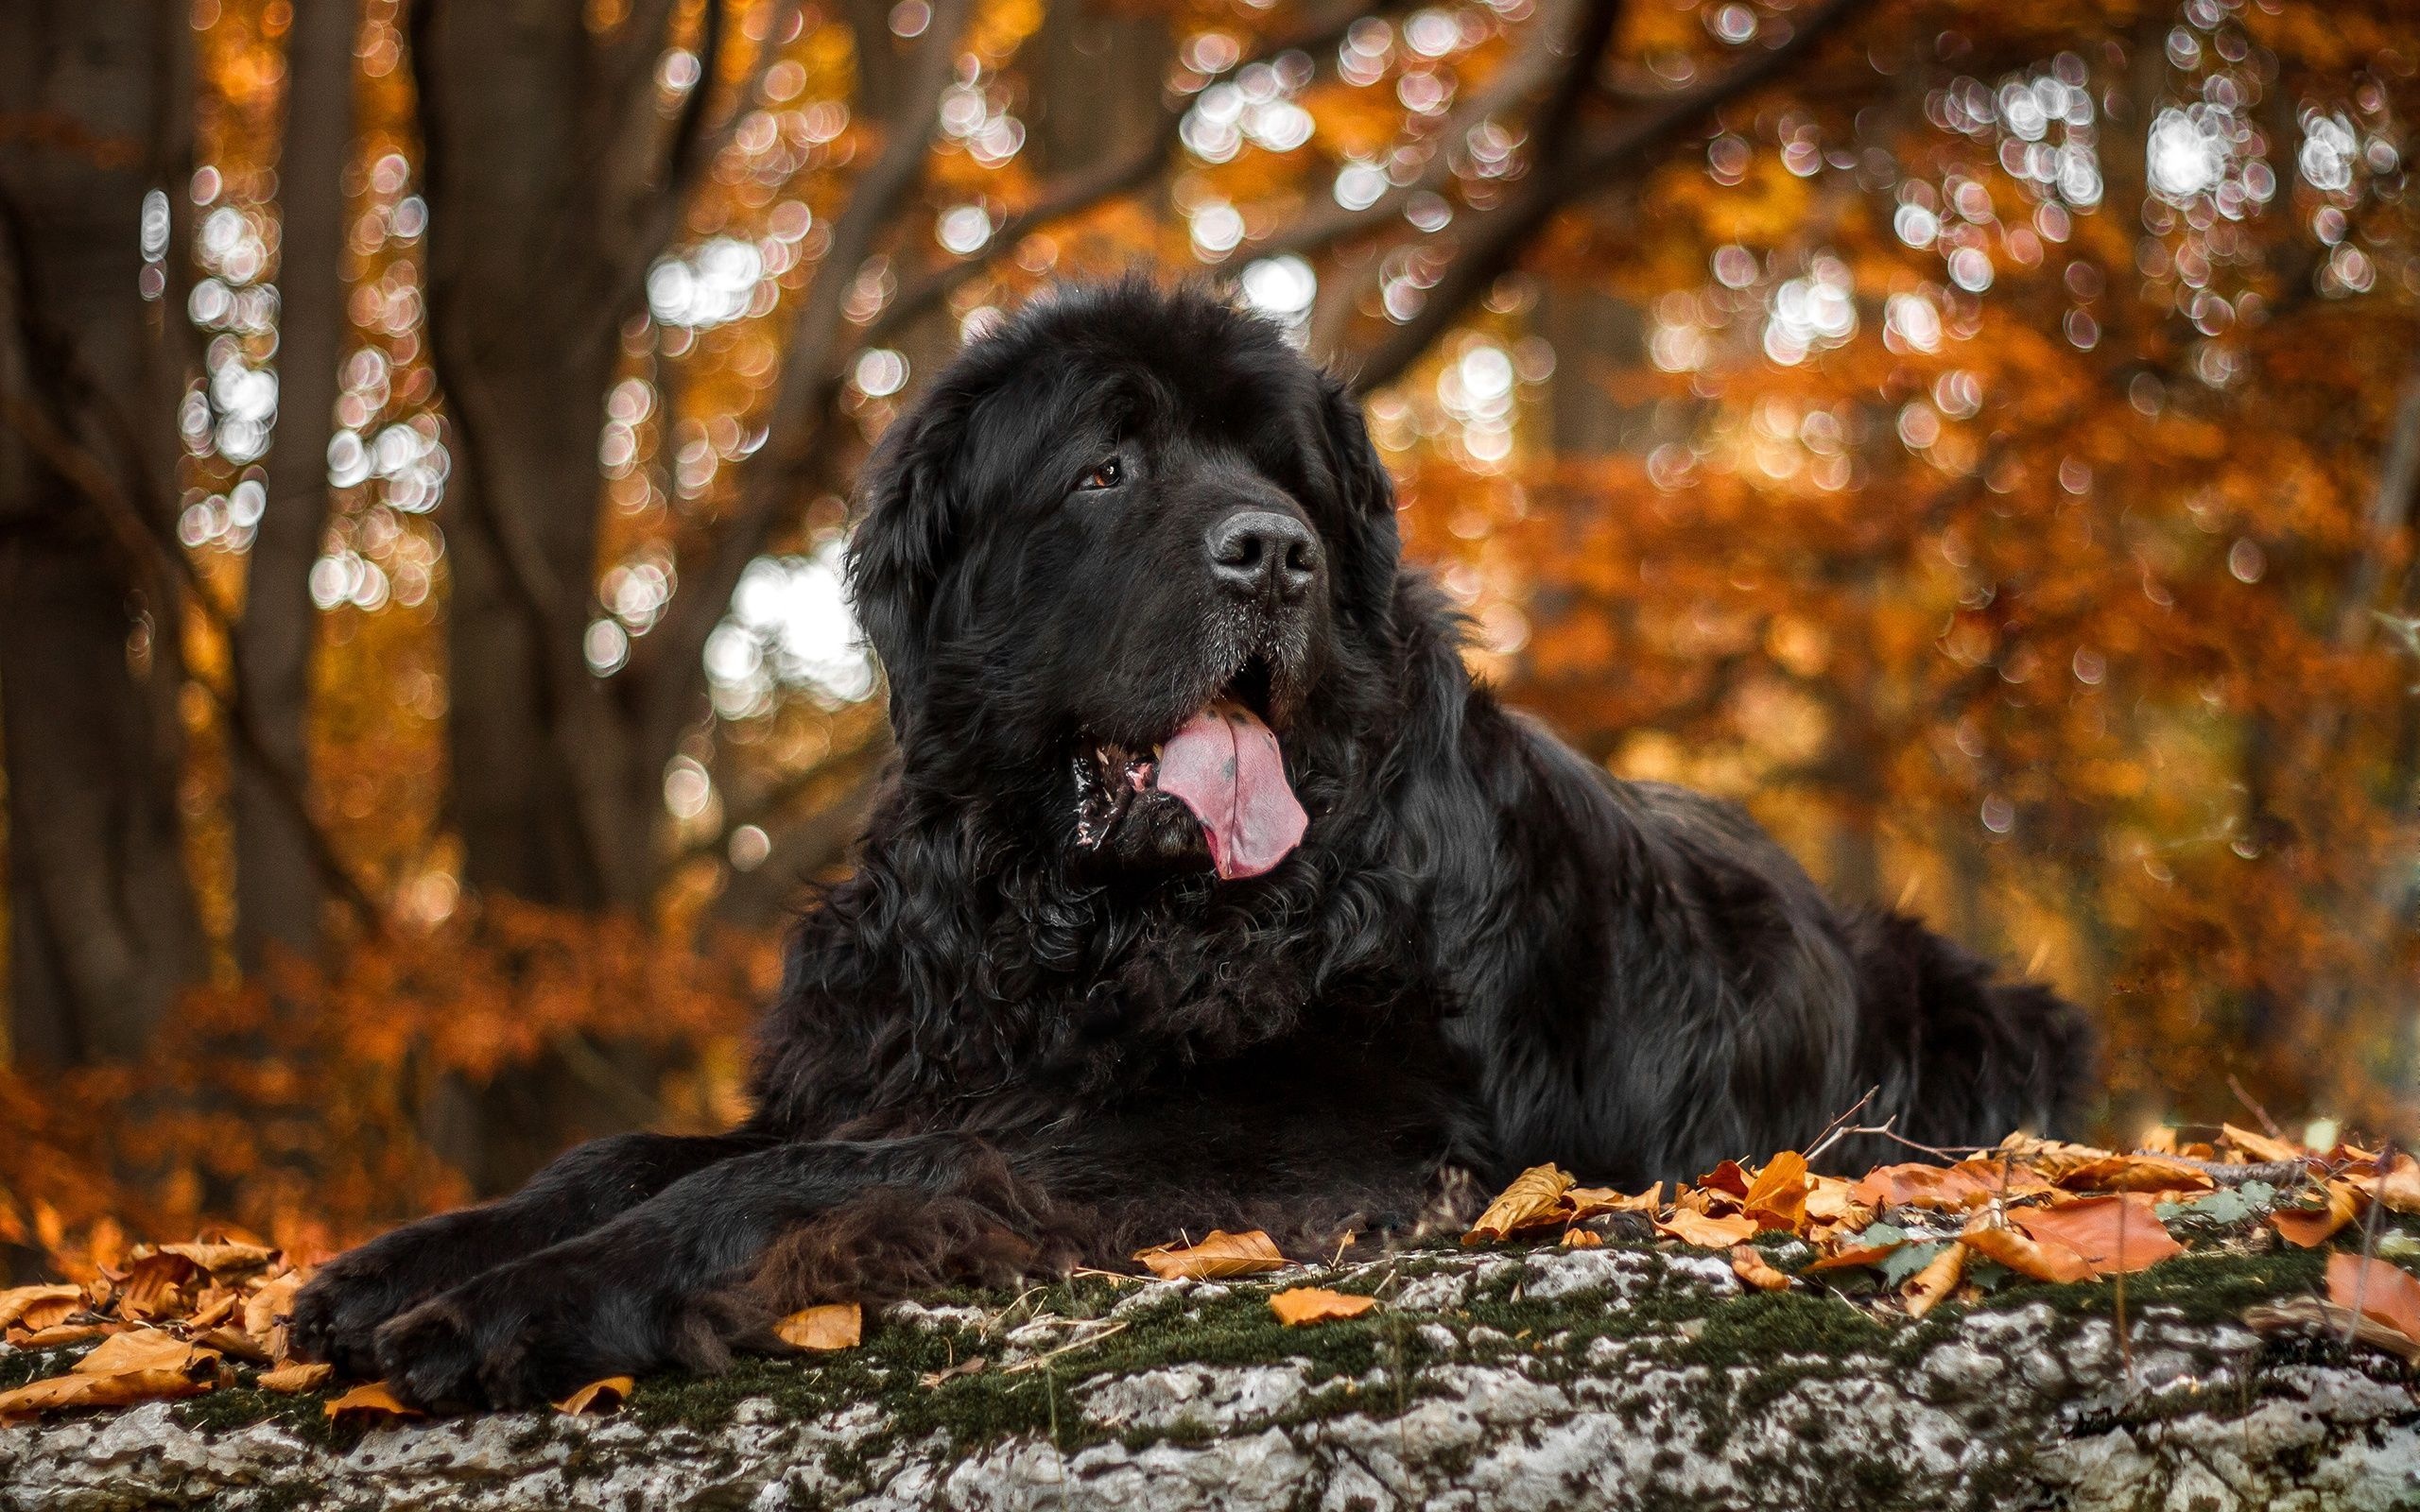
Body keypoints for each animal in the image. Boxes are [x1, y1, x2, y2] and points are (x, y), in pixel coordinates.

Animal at [292, 280, 2090, 1402]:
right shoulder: (904, 1047)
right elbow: (631, 1152)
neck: (1070, 915)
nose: (1273, 554)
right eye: (1104, 467)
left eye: (1285, 476)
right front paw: (403, 1264)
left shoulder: (1302, 1131)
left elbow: (836, 1168)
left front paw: (517, 1307)